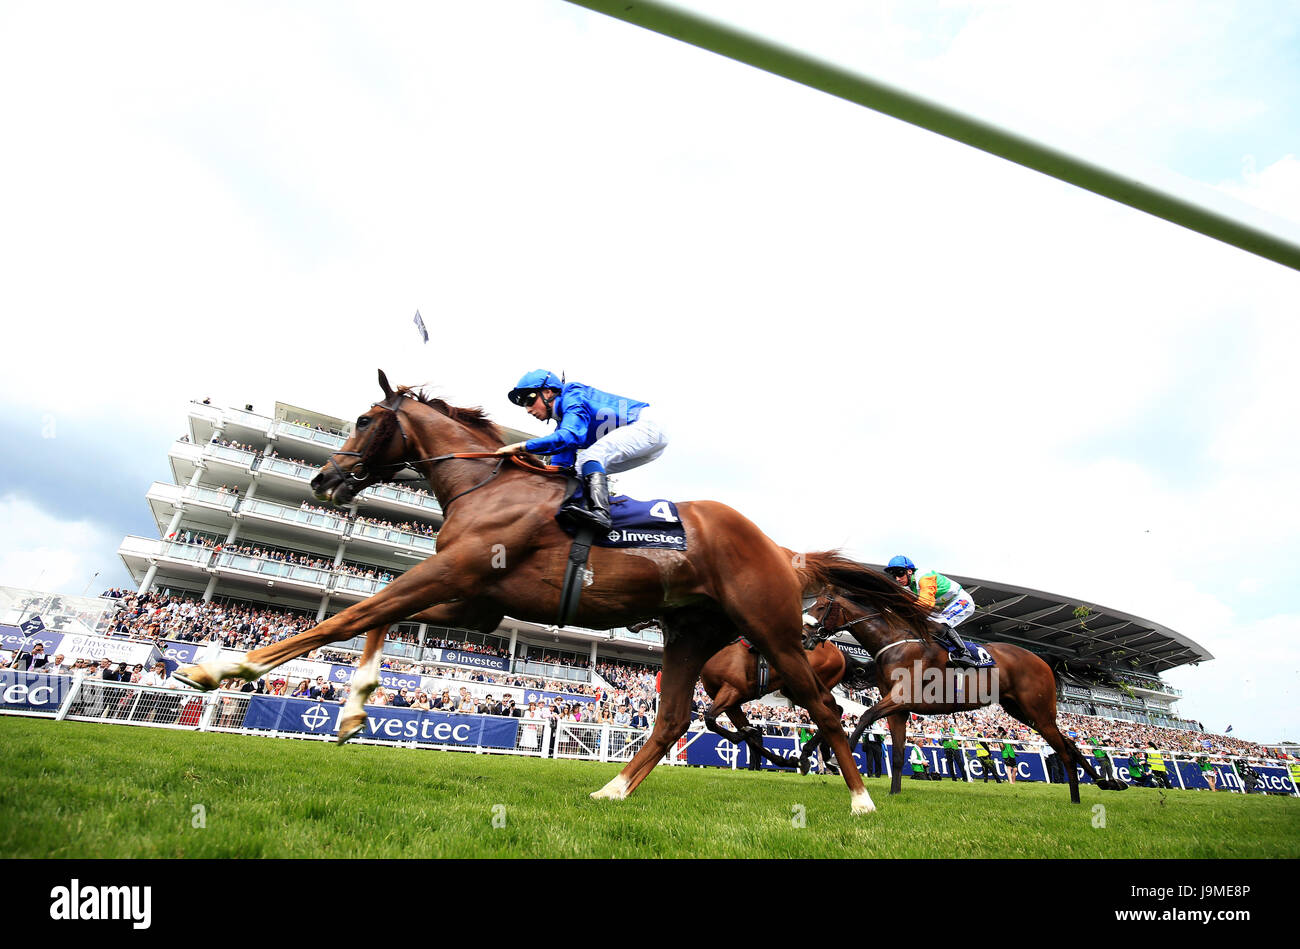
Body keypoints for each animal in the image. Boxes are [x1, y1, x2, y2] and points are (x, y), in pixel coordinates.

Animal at [183, 371, 935, 811]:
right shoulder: (476, 600)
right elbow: (377, 616)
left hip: (774, 633)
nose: (323, 480)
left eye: (367, 419)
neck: (485, 483)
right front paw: (352, 709)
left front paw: (224, 666)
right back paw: (613, 787)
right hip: (690, 632)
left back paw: (861, 800)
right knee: (671, 718)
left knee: (825, 709)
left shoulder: (456, 576)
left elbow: (351, 612)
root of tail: (784, 551)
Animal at [806, 592, 1123, 800]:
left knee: (1065, 749)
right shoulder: (898, 707)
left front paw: (837, 757)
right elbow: (896, 753)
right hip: (1023, 712)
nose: (806, 635)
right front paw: (894, 793)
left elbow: (866, 717)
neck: (895, 642)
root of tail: (1042, 658)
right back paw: (1107, 784)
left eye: (820, 606)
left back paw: (1078, 796)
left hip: (1038, 711)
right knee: (1068, 743)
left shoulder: (901, 698)